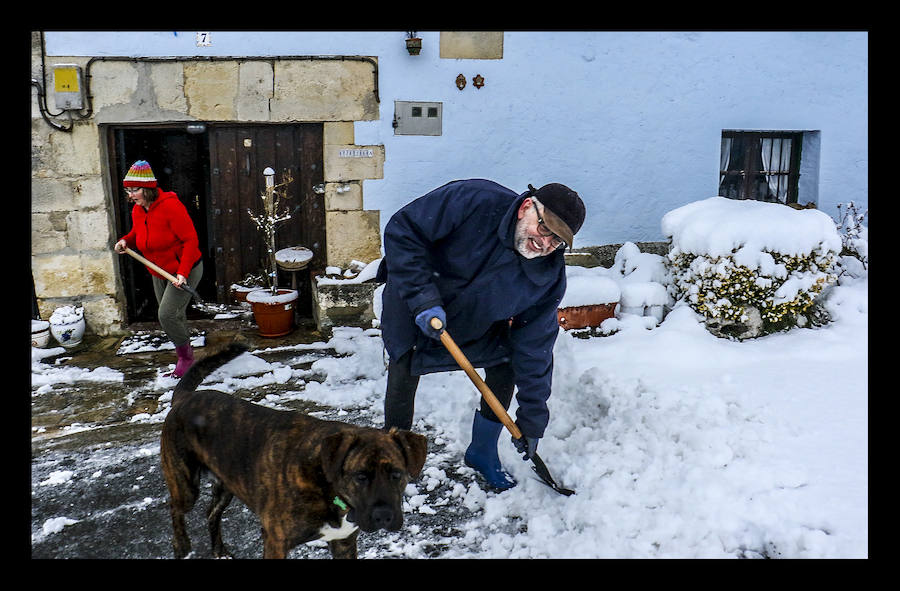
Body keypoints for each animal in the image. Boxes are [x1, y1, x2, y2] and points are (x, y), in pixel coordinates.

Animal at [160, 342, 428, 560]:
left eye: (397, 474)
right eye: (360, 477)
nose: (384, 516)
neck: (325, 481)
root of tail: (184, 398)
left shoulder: (343, 542)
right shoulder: (276, 542)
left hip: (226, 483)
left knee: (211, 512)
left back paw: (219, 550)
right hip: (186, 485)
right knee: (175, 508)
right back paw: (181, 545)